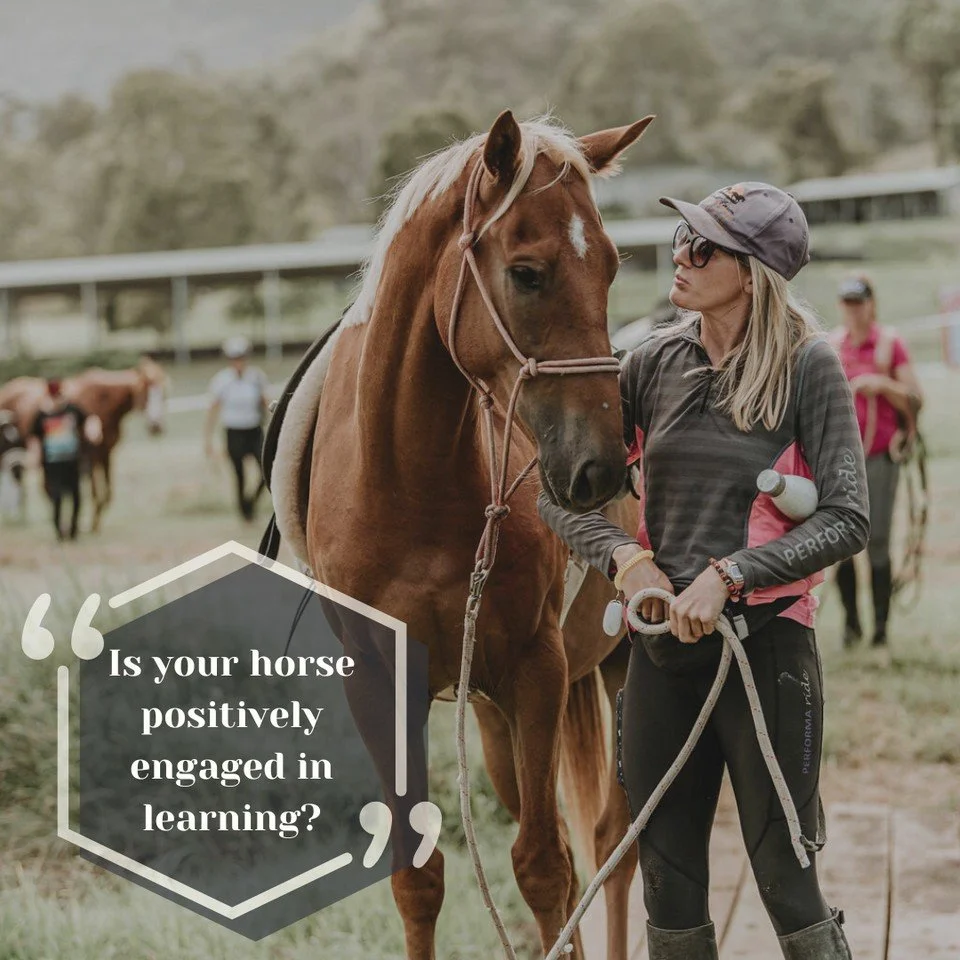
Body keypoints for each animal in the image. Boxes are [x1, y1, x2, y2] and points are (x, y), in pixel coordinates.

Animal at [0, 357, 169, 530]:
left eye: (163, 393)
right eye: (145, 392)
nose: (156, 427)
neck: (103, 401)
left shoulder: (106, 453)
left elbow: (107, 493)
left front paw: (95, 520)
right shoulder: (91, 455)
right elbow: (94, 491)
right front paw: (92, 523)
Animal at [270, 112, 652, 959]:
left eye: (613, 267)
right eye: (527, 273)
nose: (604, 467)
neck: (413, 483)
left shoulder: (537, 668)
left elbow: (542, 869)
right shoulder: (381, 684)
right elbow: (418, 877)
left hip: (616, 670)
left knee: (611, 846)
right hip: (497, 715)